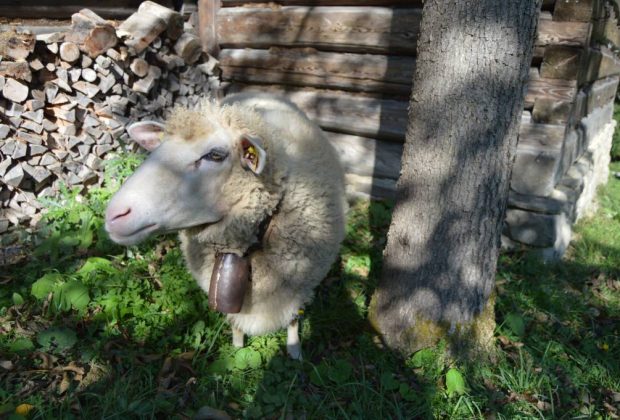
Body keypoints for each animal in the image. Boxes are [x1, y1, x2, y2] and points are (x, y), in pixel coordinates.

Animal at [104, 93, 346, 360]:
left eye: (215, 155)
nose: (114, 215)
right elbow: (234, 320)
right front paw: (237, 346)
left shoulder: (301, 284)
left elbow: (293, 319)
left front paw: (295, 352)